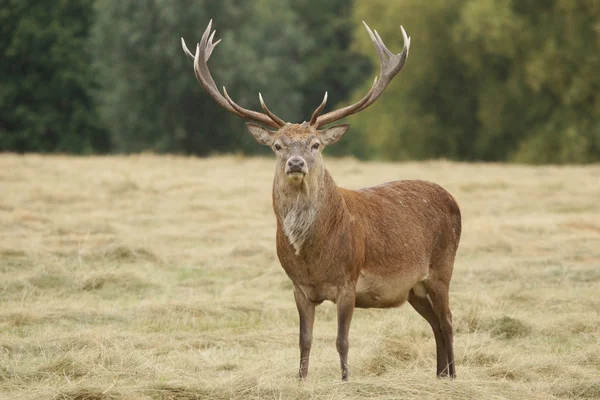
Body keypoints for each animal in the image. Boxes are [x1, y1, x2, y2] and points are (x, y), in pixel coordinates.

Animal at [180, 19, 462, 382]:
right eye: (278, 145)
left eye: (315, 144)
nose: (296, 163)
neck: (314, 257)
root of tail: (451, 198)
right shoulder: (299, 287)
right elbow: (305, 339)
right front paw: (301, 380)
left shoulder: (348, 282)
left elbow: (342, 340)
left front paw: (345, 380)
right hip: (414, 288)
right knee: (435, 325)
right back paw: (440, 376)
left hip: (441, 269)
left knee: (448, 321)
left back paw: (453, 376)